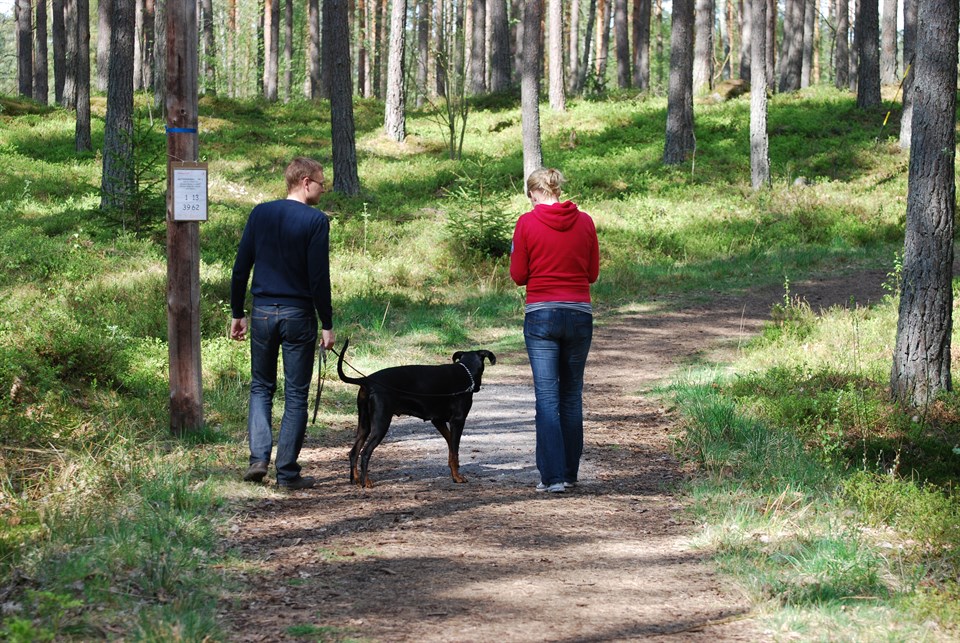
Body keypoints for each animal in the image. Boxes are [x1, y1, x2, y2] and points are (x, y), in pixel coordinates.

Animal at [337, 339, 496, 488]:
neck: (465, 371)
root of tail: (367, 381)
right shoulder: (458, 420)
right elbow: (454, 448)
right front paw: (457, 477)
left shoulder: (437, 420)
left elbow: (452, 448)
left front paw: (454, 468)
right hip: (381, 423)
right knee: (365, 453)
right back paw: (367, 482)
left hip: (364, 424)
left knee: (354, 452)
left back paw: (356, 480)